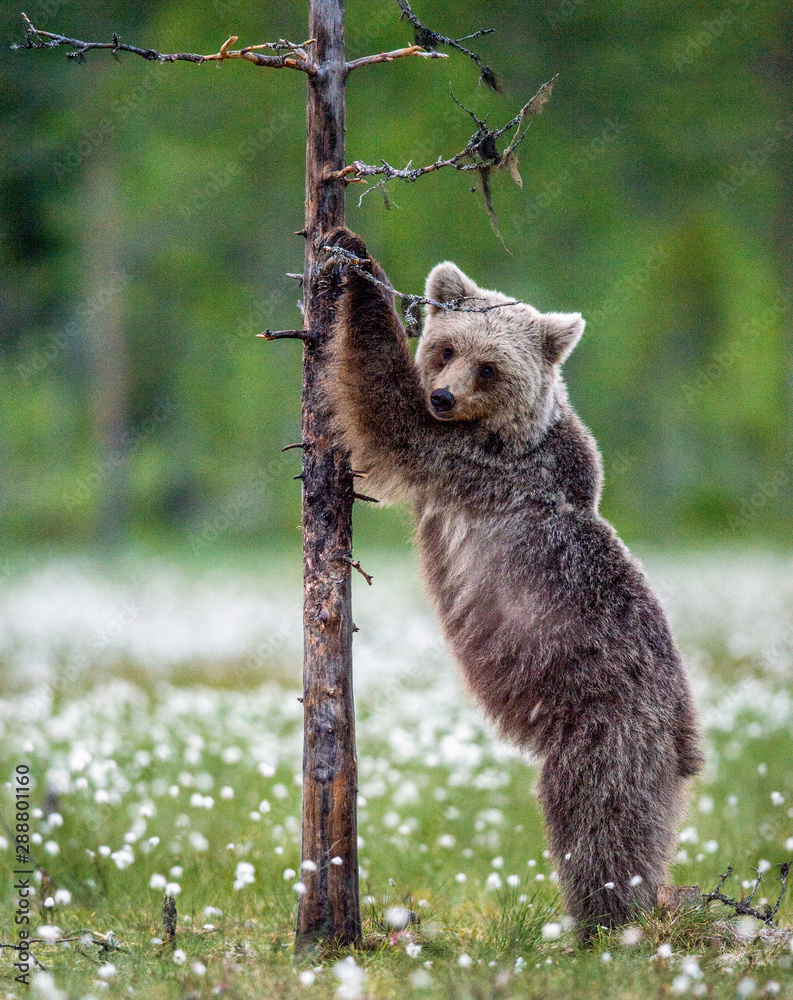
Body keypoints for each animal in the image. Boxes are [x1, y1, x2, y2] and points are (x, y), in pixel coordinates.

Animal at [322, 228, 704, 939]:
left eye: (489, 367)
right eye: (447, 348)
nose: (444, 396)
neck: (508, 435)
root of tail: (683, 734)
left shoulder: (469, 466)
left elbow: (386, 410)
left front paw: (353, 261)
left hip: (607, 729)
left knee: (597, 823)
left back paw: (602, 923)